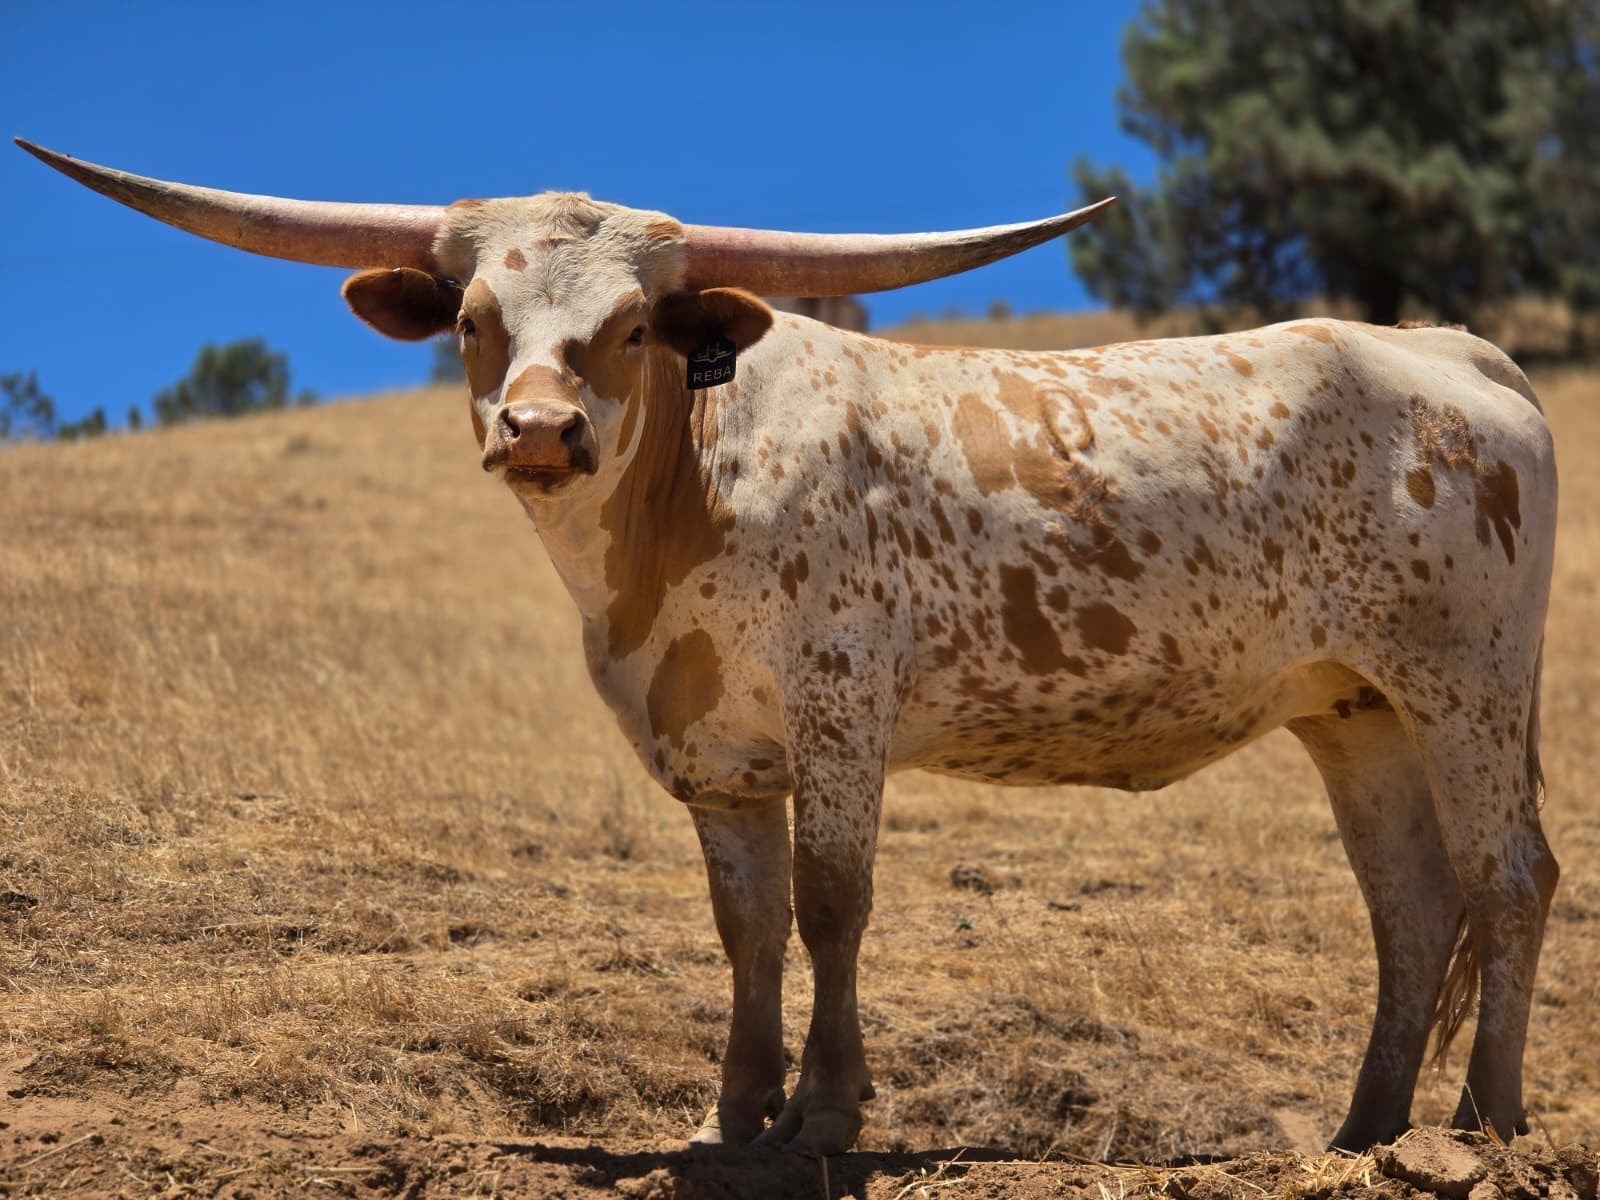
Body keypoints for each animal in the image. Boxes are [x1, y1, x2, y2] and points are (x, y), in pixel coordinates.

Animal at [18, 138, 1558, 1158]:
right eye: (470, 319)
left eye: (633, 326)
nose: (538, 430)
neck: (686, 502)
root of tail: (1451, 348)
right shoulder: (713, 748)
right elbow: (745, 922)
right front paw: (739, 1108)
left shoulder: (839, 707)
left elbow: (830, 904)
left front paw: (824, 1109)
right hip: (1355, 708)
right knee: (1412, 902)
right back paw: (1363, 1134)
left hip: (1467, 685)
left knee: (1510, 880)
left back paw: (1482, 1127)